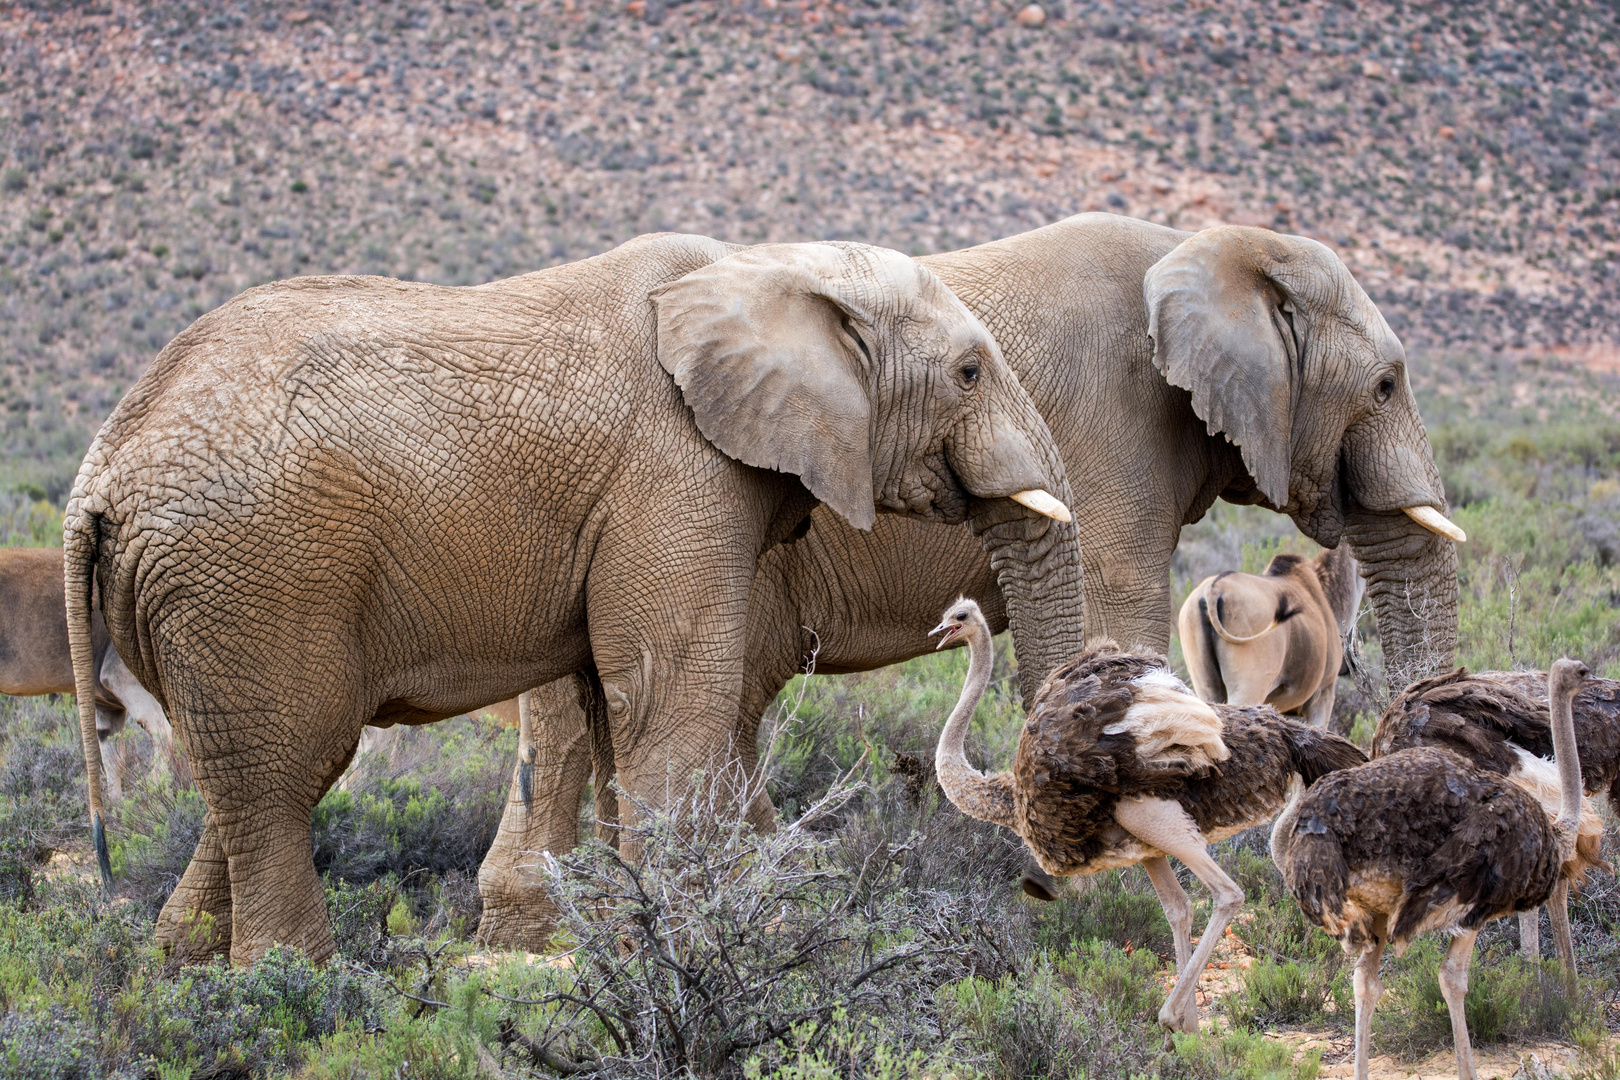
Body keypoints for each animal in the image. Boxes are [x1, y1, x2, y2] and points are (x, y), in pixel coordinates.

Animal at [63, 234, 1082, 965]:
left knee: (243, 782)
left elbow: (611, 708)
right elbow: (669, 703)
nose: (1042, 895)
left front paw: (630, 944)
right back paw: (294, 989)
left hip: (203, 594)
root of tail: (97, 473)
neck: (772, 268)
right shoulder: (674, 474)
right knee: (287, 774)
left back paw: (175, 973)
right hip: (254, 578)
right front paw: (681, 954)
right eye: (971, 373)